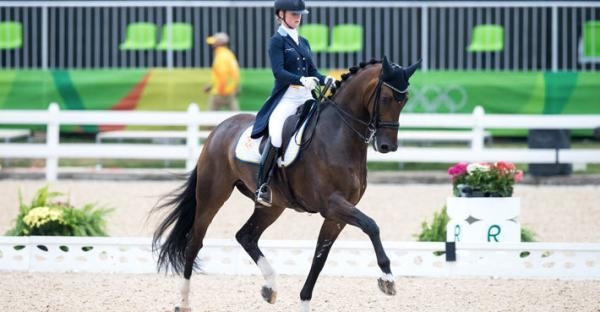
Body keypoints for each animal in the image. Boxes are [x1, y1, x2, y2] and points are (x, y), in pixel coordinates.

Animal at [152, 56, 420, 312]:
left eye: (404, 100)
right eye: (385, 98)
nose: (387, 146)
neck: (339, 136)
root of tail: (218, 129)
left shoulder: (336, 215)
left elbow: (320, 258)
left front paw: (304, 303)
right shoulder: (333, 204)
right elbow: (371, 226)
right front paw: (387, 278)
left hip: (272, 205)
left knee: (246, 236)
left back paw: (270, 287)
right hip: (212, 195)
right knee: (194, 243)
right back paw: (183, 302)